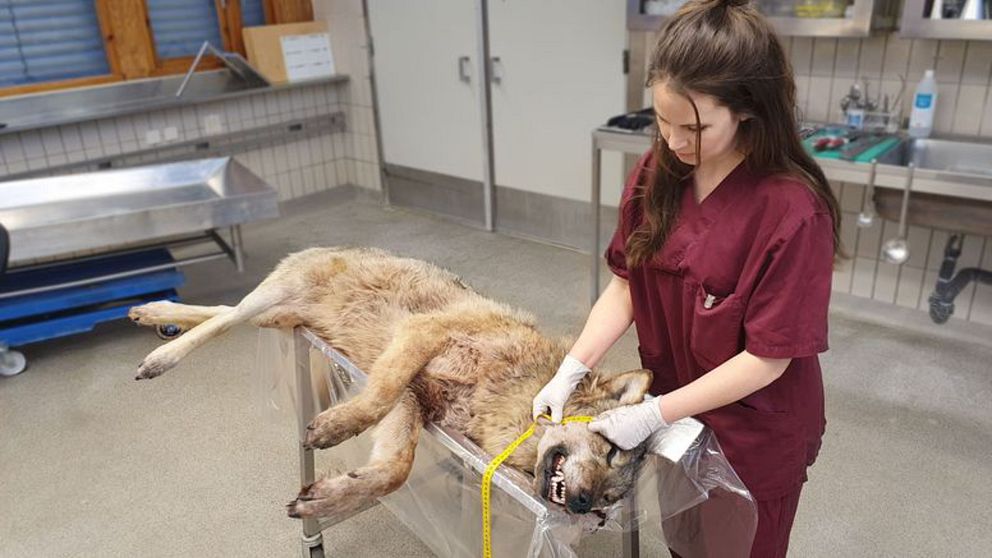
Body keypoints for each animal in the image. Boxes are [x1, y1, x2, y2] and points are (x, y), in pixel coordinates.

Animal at [130, 247, 652, 524]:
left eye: (608, 502)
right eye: (609, 450)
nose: (582, 505)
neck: (506, 392)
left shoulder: (413, 399)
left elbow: (396, 466)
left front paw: (331, 495)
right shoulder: (419, 340)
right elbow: (374, 402)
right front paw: (334, 428)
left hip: (276, 316)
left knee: (221, 312)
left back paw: (153, 312)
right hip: (272, 301)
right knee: (223, 320)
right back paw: (159, 354)